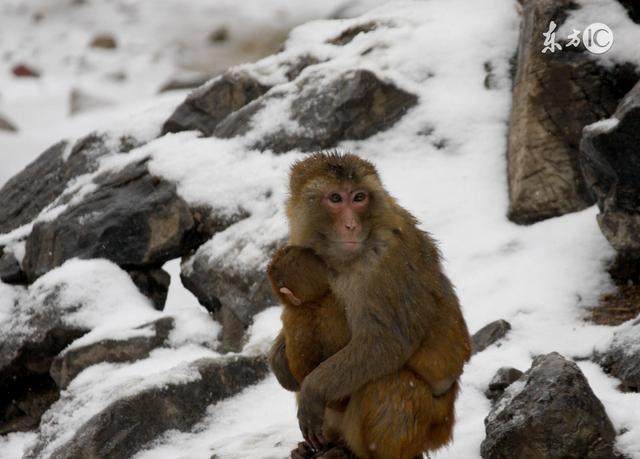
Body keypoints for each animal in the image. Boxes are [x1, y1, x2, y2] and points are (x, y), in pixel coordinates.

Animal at [268, 154, 472, 459]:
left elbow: (387, 342)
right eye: (336, 198)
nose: (351, 225)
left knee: (386, 383)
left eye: (359, 197)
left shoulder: (385, 261)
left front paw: (313, 391)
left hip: (433, 424)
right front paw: (278, 360)